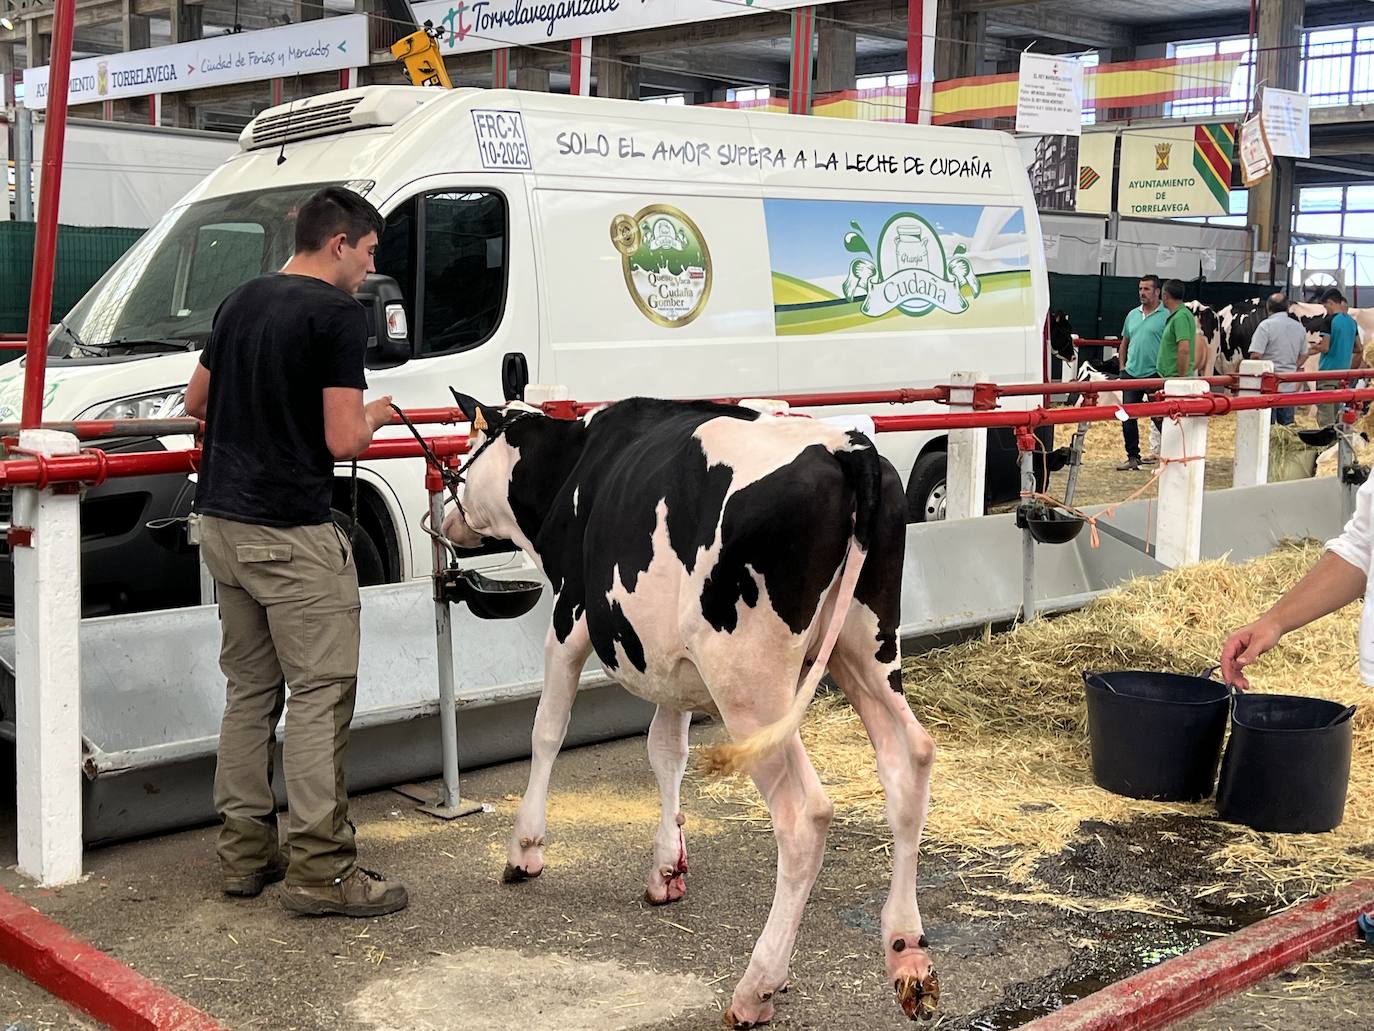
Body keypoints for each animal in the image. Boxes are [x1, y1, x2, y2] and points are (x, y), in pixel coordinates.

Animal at [445, 395, 939, 1028]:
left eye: (465, 444)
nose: (446, 513)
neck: (573, 465)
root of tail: (847, 449)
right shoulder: (672, 666)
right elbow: (666, 753)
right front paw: (667, 868)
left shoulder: (569, 616)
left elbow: (547, 730)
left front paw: (525, 851)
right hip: (865, 645)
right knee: (909, 760)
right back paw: (908, 955)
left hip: (750, 683)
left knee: (805, 815)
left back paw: (757, 986)